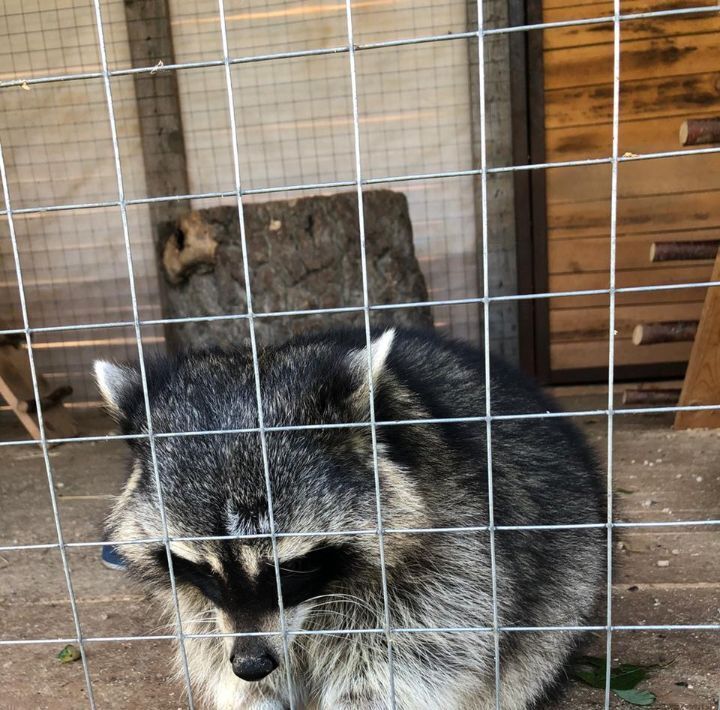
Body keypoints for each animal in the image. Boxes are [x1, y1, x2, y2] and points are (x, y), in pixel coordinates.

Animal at [94, 330, 600, 710]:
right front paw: (252, 689)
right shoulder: (201, 605)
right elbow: (212, 647)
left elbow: (418, 654)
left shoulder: (453, 548)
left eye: (292, 566)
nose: (252, 664)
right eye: (200, 569)